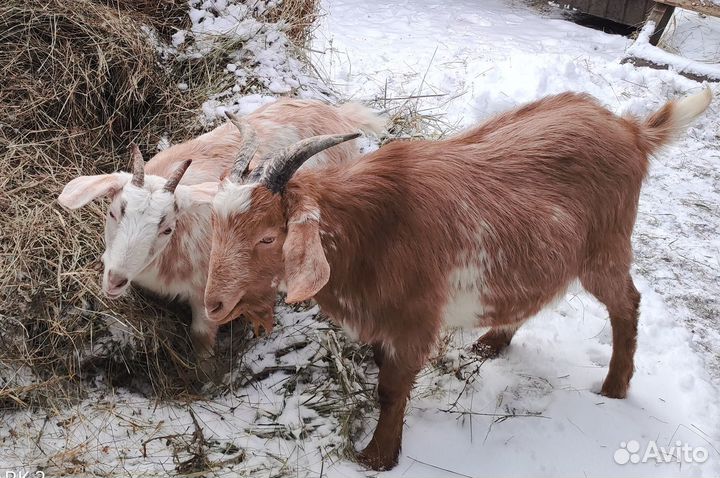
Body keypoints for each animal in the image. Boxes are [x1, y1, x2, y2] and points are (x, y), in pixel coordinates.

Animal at [200, 88, 712, 468]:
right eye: (217, 226)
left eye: (269, 237)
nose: (213, 305)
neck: (372, 232)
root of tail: (631, 129)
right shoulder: (382, 322)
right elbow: (382, 373)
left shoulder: (415, 321)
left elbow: (391, 389)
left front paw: (377, 458)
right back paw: (492, 343)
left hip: (605, 250)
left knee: (627, 303)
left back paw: (614, 387)